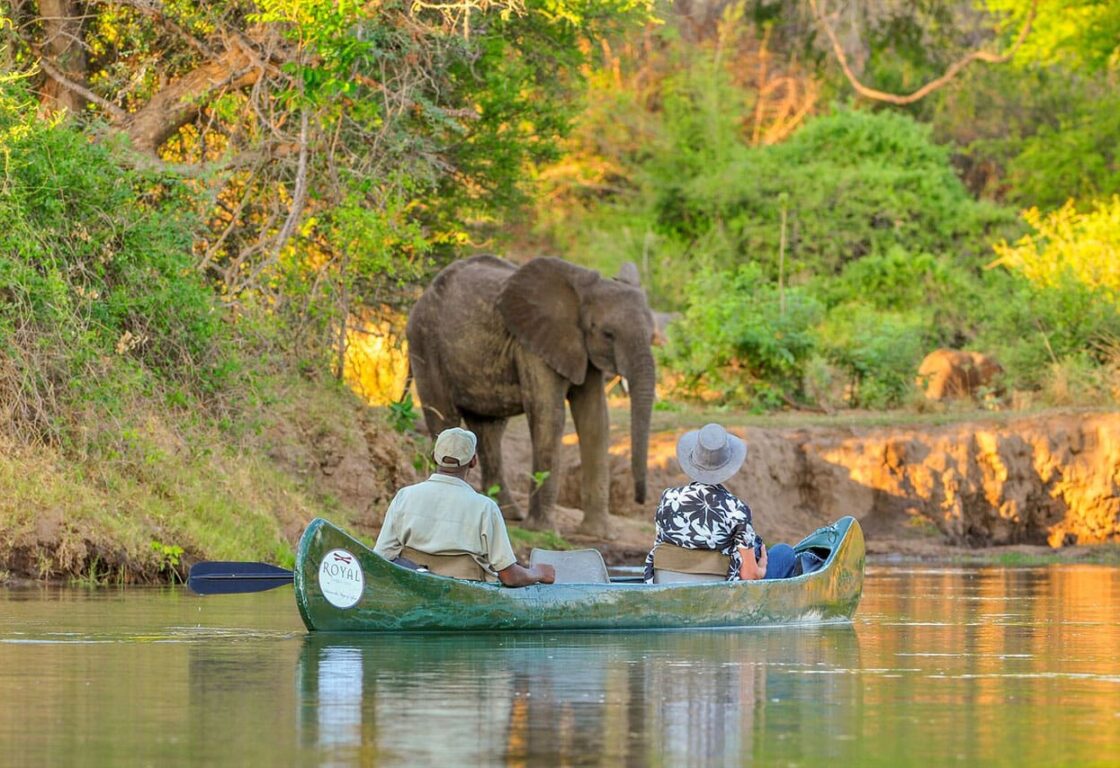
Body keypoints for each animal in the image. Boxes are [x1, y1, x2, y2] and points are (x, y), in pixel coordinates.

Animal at [406, 255, 656, 536]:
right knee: (445, 417)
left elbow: (595, 422)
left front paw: (598, 533)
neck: (581, 292)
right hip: (425, 343)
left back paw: (508, 513)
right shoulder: (532, 344)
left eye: (652, 335)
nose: (640, 499)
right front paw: (544, 531)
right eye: (608, 334)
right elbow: (549, 415)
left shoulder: (583, 351)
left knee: (488, 430)